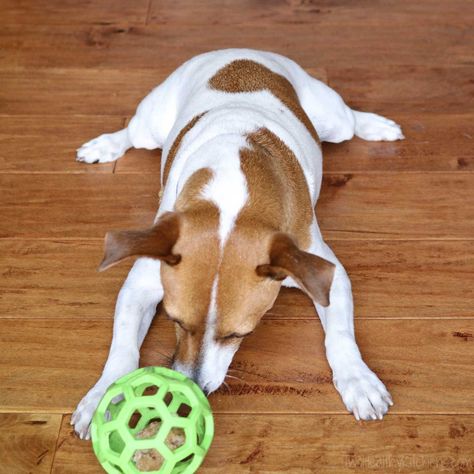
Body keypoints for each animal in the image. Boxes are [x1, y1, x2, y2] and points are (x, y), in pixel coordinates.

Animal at [72, 48, 402, 436]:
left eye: (238, 334)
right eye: (174, 320)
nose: (194, 388)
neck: (232, 200)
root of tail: (240, 51)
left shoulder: (323, 272)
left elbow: (340, 335)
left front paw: (357, 379)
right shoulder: (141, 283)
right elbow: (122, 347)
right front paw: (102, 397)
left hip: (334, 121)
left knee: (350, 119)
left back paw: (377, 126)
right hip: (149, 126)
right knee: (130, 132)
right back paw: (104, 145)